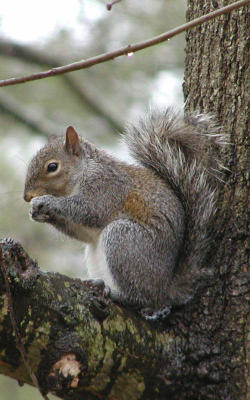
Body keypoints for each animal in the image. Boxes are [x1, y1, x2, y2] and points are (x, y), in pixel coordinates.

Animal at [23, 108, 226, 320]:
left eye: (52, 167)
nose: (26, 196)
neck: (84, 171)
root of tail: (166, 288)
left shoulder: (106, 187)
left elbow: (89, 209)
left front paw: (46, 202)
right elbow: (83, 232)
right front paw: (38, 212)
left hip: (124, 242)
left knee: (141, 298)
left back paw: (116, 293)